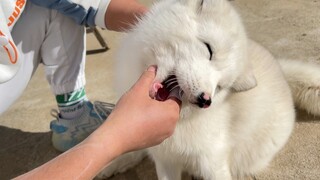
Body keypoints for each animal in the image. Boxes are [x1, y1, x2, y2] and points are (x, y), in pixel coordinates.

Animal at [99, 0, 320, 179]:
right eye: (209, 49)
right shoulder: (165, 159)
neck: (183, 120)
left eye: (221, 86)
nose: (205, 100)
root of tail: (281, 68)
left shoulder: (212, 159)